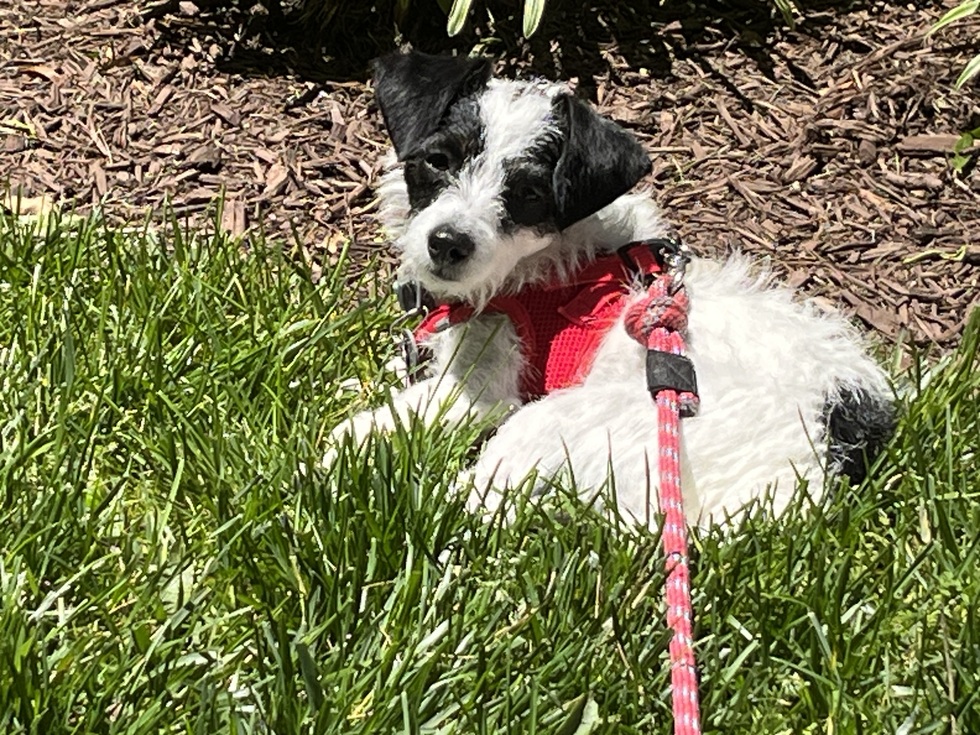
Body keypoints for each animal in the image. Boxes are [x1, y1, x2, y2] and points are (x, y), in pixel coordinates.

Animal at [329, 50, 896, 529]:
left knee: (482, 497)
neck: (540, 268)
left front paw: (338, 449)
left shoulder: (482, 391)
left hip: (558, 419)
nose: (447, 243)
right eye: (439, 160)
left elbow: (392, 418)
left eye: (529, 193)